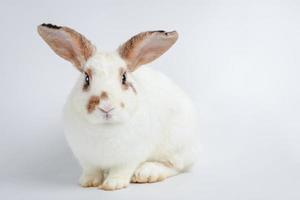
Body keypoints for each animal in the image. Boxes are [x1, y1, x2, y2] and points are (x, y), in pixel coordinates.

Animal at [37, 23, 199, 191]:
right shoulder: (86, 159)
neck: (105, 127)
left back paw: (146, 173)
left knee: (175, 166)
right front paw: (88, 182)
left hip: (176, 147)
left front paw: (112, 185)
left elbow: (121, 171)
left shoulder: (129, 158)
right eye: (86, 78)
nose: (106, 106)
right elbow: (91, 170)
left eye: (124, 78)